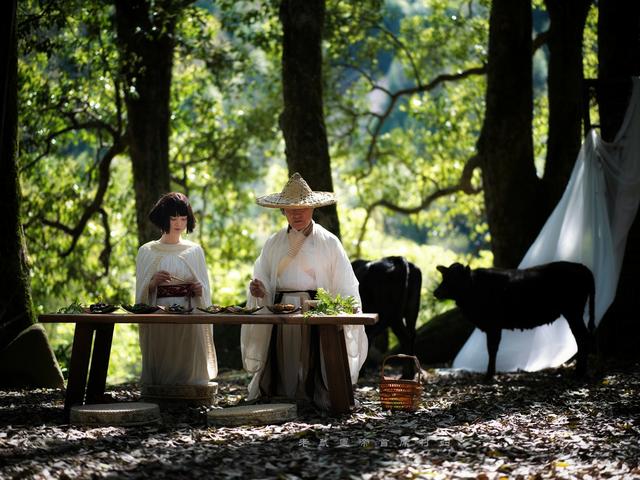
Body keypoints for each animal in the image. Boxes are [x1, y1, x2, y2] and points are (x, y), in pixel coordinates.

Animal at [436, 262, 596, 378]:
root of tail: (582, 267)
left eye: (455, 279)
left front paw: (489, 375)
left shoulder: (493, 325)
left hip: (573, 311)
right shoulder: (494, 326)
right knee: (581, 337)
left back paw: (580, 372)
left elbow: (492, 348)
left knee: (583, 337)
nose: (436, 292)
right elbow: (493, 348)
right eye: (445, 277)